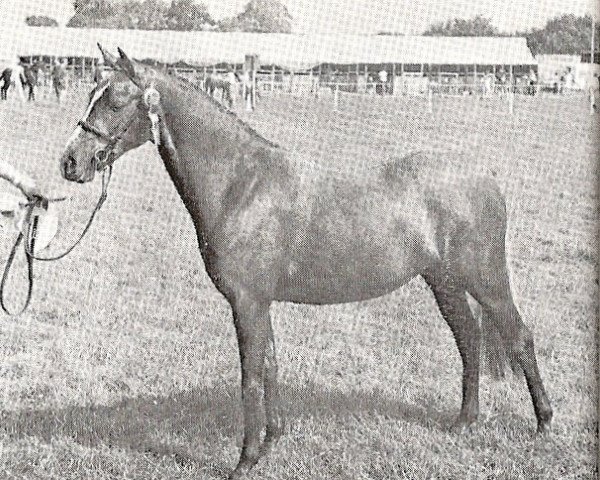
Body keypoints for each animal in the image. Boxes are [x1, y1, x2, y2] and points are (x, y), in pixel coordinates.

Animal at [58, 46, 552, 480]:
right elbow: (271, 366)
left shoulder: (246, 302)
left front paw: (245, 461)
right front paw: (272, 441)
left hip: (486, 280)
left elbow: (251, 377)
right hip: (444, 282)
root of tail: (484, 175)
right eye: (91, 91)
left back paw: (543, 424)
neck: (241, 185)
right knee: (469, 340)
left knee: (520, 336)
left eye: (115, 99)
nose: (70, 162)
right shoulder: (259, 303)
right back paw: (464, 422)